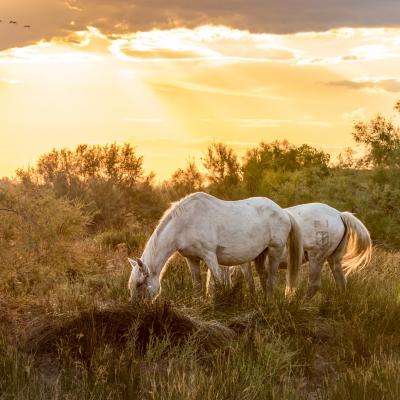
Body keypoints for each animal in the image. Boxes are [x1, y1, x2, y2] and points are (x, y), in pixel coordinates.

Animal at [126, 193, 302, 300]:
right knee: (264, 278)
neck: (186, 223)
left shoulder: (209, 256)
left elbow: (217, 284)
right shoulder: (192, 259)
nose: (135, 311)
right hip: (260, 254)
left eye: (140, 284)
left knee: (271, 280)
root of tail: (284, 213)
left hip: (275, 252)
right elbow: (197, 285)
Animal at [208, 203, 374, 296]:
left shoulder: (245, 263)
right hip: (334, 259)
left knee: (314, 285)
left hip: (316, 258)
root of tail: (339, 214)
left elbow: (250, 283)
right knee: (341, 282)